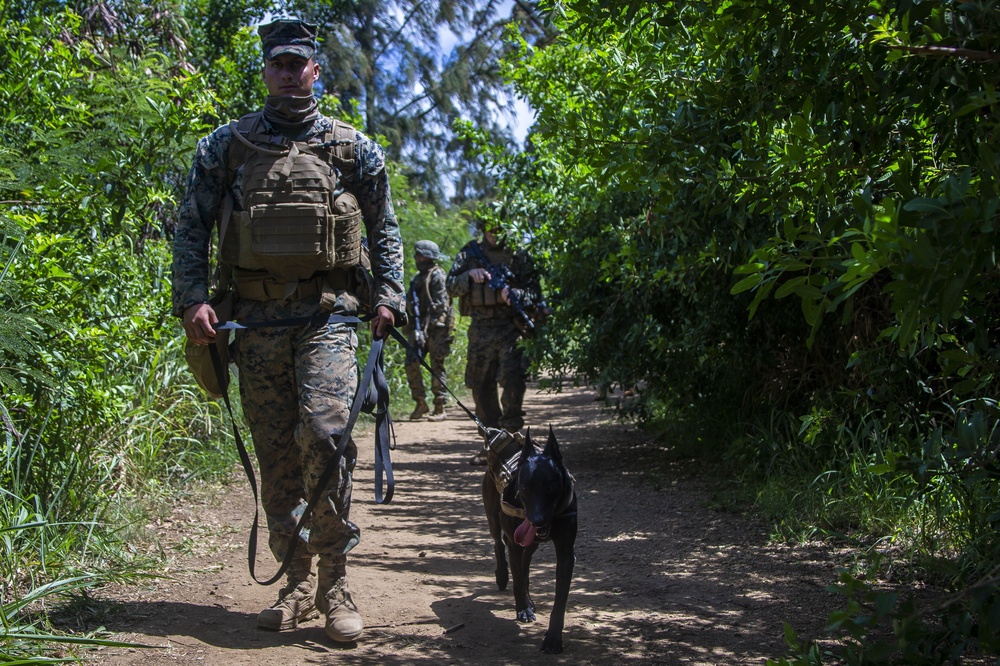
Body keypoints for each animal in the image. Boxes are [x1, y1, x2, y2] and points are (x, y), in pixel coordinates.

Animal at [484, 426, 580, 648]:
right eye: (524, 487)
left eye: (551, 486)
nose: (537, 520)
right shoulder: (515, 543)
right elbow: (518, 580)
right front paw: (524, 610)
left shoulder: (566, 552)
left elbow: (560, 598)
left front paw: (553, 638)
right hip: (494, 518)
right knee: (499, 544)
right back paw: (502, 575)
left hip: (530, 543)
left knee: (525, 562)